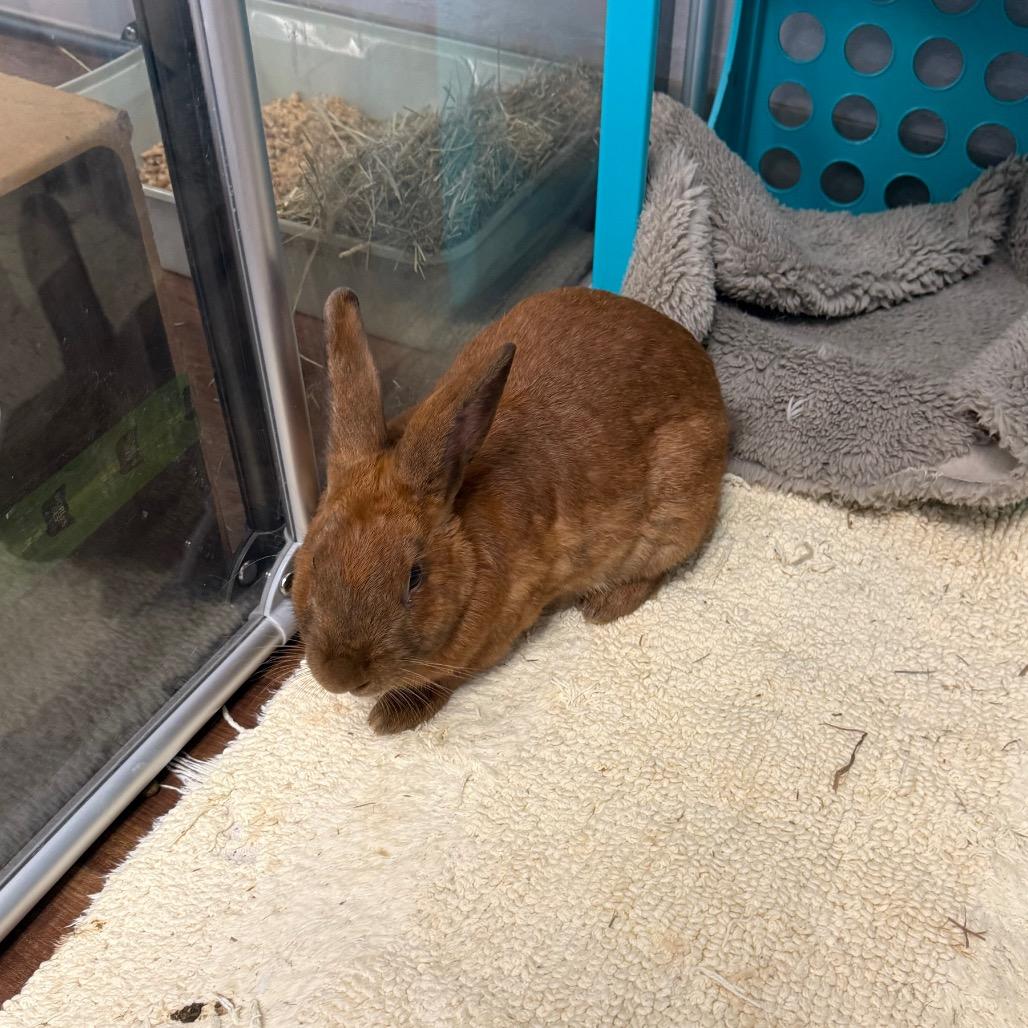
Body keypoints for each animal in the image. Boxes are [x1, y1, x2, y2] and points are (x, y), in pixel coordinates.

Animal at [291, 285, 729, 734]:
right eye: (310, 561)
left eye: (414, 577)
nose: (339, 677)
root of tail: (707, 376)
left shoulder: (502, 627)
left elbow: (446, 678)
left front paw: (391, 718)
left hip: (672, 516)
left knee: (655, 571)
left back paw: (601, 608)